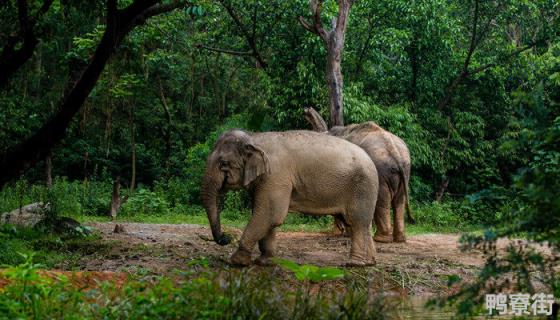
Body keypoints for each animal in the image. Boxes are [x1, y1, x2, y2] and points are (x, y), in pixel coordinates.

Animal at [199, 129, 378, 266]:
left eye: (223, 163)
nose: (226, 238)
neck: (254, 137)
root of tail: (371, 161)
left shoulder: (275, 176)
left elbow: (271, 214)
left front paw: (236, 261)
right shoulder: (264, 179)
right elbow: (265, 215)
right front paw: (264, 261)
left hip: (362, 188)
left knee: (357, 223)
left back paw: (354, 263)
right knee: (360, 224)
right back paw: (369, 262)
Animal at [304, 107, 414, 242]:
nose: (306, 110)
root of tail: (395, 153)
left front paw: (347, 233)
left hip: (381, 171)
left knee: (382, 200)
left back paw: (380, 239)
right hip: (405, 169)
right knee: (399, 200)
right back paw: (399, 239)